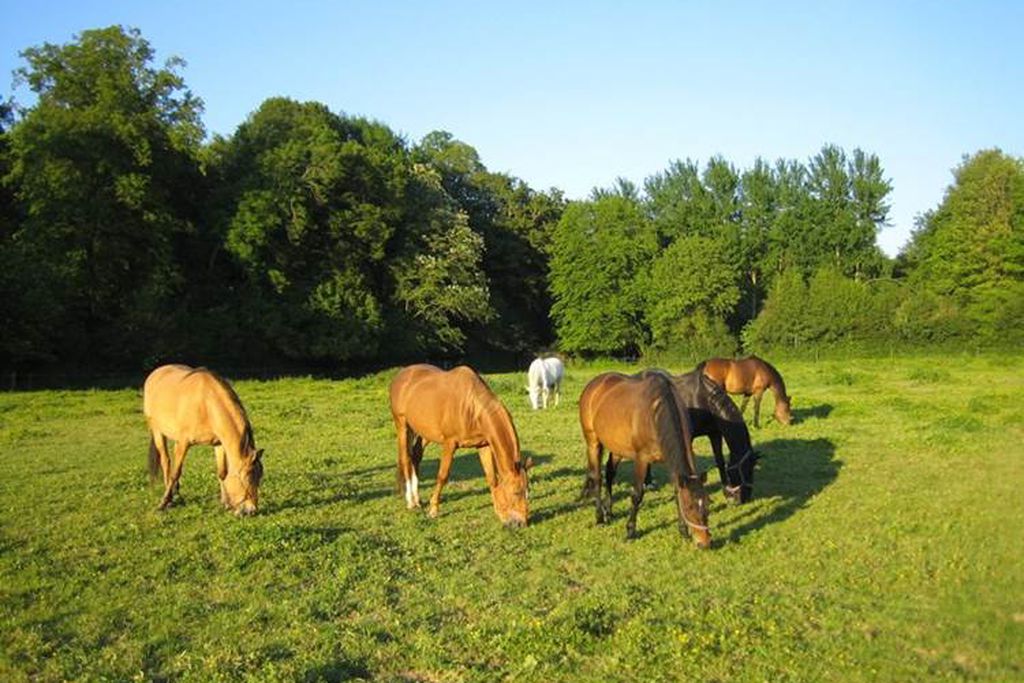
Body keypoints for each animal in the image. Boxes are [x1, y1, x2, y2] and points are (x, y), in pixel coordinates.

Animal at [143, 366, 264, 516]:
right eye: (247, 477)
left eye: (259, 477)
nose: (251, 510)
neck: (206, 404)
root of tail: (155, 373)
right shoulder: (183, 443)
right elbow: (175, 473)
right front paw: (163, 503)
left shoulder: (219, 443)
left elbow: (222, 472)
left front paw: (225, 503)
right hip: (158, 431)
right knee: (166, 461)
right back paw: (170, 498)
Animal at [385, 362, 532, 528]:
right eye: (516, 492)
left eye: (528, 491)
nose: (522, 523)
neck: (471, 406)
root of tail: (400, 375)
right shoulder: (449, 443)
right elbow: (442, 475)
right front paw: (433, 510)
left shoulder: (483, 445)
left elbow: (491, 478)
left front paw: (500, 512)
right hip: (402, 425)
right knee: (405, 458)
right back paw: (410, 501)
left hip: (424, 432)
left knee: (415, 456)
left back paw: (417, 499)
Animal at [577, 370, 712, 548]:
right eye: (690, 507)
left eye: (708, 504)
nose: (705, 542)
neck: (656, 413)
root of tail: (594, 384)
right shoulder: (642, 459)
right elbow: (637, 495)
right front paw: (630, 531)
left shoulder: (670, 461)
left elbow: (677, 493)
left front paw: (683, 531)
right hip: (593, 442)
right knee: (597, 477)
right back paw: (599, 517)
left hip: (618, 447)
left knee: (609, 474)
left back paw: (609, 512)